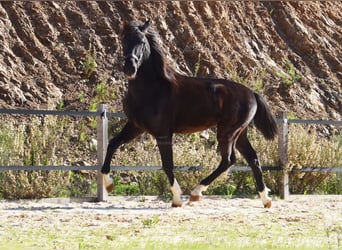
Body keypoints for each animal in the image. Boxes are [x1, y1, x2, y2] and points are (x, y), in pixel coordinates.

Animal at [101, 19, 278, 208]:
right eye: (124, 41)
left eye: (142, 42)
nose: (130, 68)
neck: (151, 89)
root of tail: (252, 93)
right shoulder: (135, 126)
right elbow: (112, 144)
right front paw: (109, 184)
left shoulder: (163, 134)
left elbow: (167, 165)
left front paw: (177, 199)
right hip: (240, 134)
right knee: (252, 158)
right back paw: (266, 199)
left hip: (227, 133)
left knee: (228, 160)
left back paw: (196, 193)